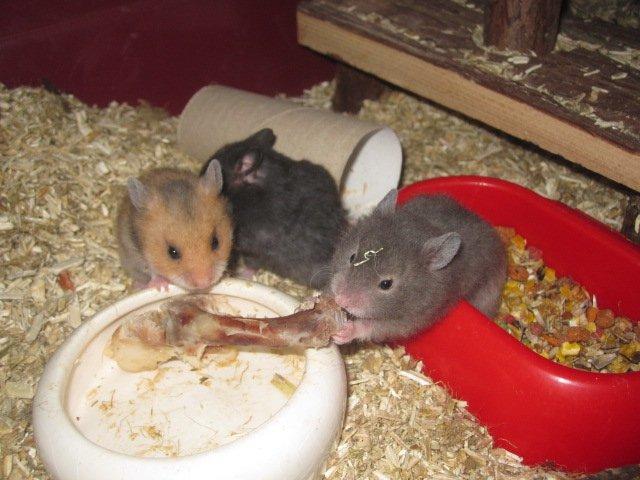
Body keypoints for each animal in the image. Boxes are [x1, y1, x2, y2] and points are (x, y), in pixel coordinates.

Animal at [116, 160, 233, 292]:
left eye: (215, 242)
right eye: (172, 252)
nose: (204, 284)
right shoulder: (142, 256)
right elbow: (153, 270)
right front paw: (161, 287)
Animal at [329, 189, 507, 344]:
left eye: (386, 284)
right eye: (352, 257)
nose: (340, 300)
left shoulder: (412, 318)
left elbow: (373, 326)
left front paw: (342, 333)